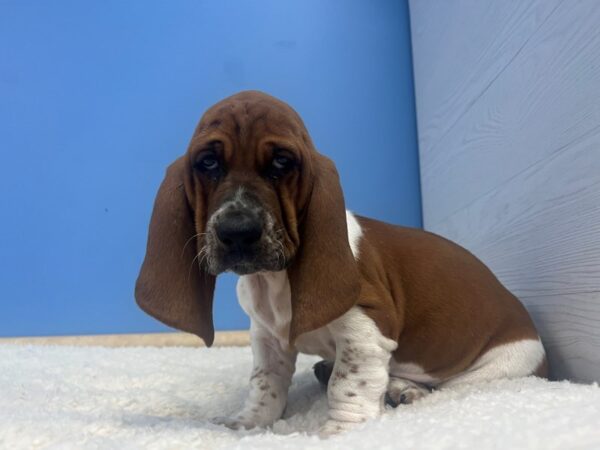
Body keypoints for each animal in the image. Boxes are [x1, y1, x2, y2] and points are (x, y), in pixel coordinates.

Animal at [136, 90, 548, 436]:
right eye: (207, 163)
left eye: (282, 163)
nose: (238, 231)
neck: (276, 278)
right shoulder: (267, 338)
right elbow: (264, 384)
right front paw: (248, 423)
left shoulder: (364, 330)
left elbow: (349, 383)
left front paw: (340, 431)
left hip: (495, 371)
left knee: (446, 388)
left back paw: (405, 389)